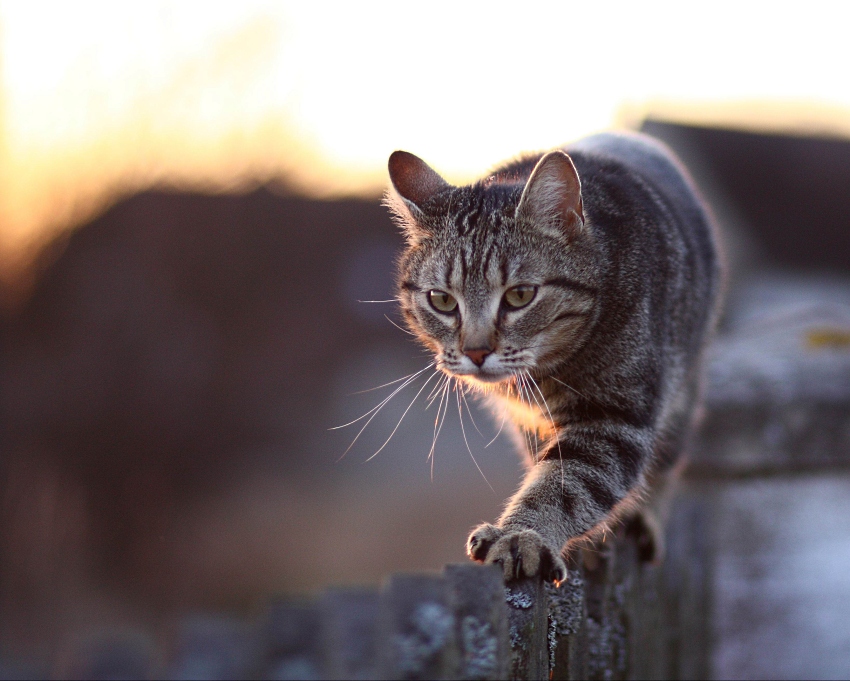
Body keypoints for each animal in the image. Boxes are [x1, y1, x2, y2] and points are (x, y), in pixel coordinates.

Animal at [384, 133, 724, 584]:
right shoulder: (526, 419)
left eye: (520, 295)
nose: (476, 351)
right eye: (441, 300)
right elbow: (545, 467)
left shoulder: (612, 416)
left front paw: (521, 537)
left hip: (685, 387)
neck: (545, 374)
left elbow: (566, 484)